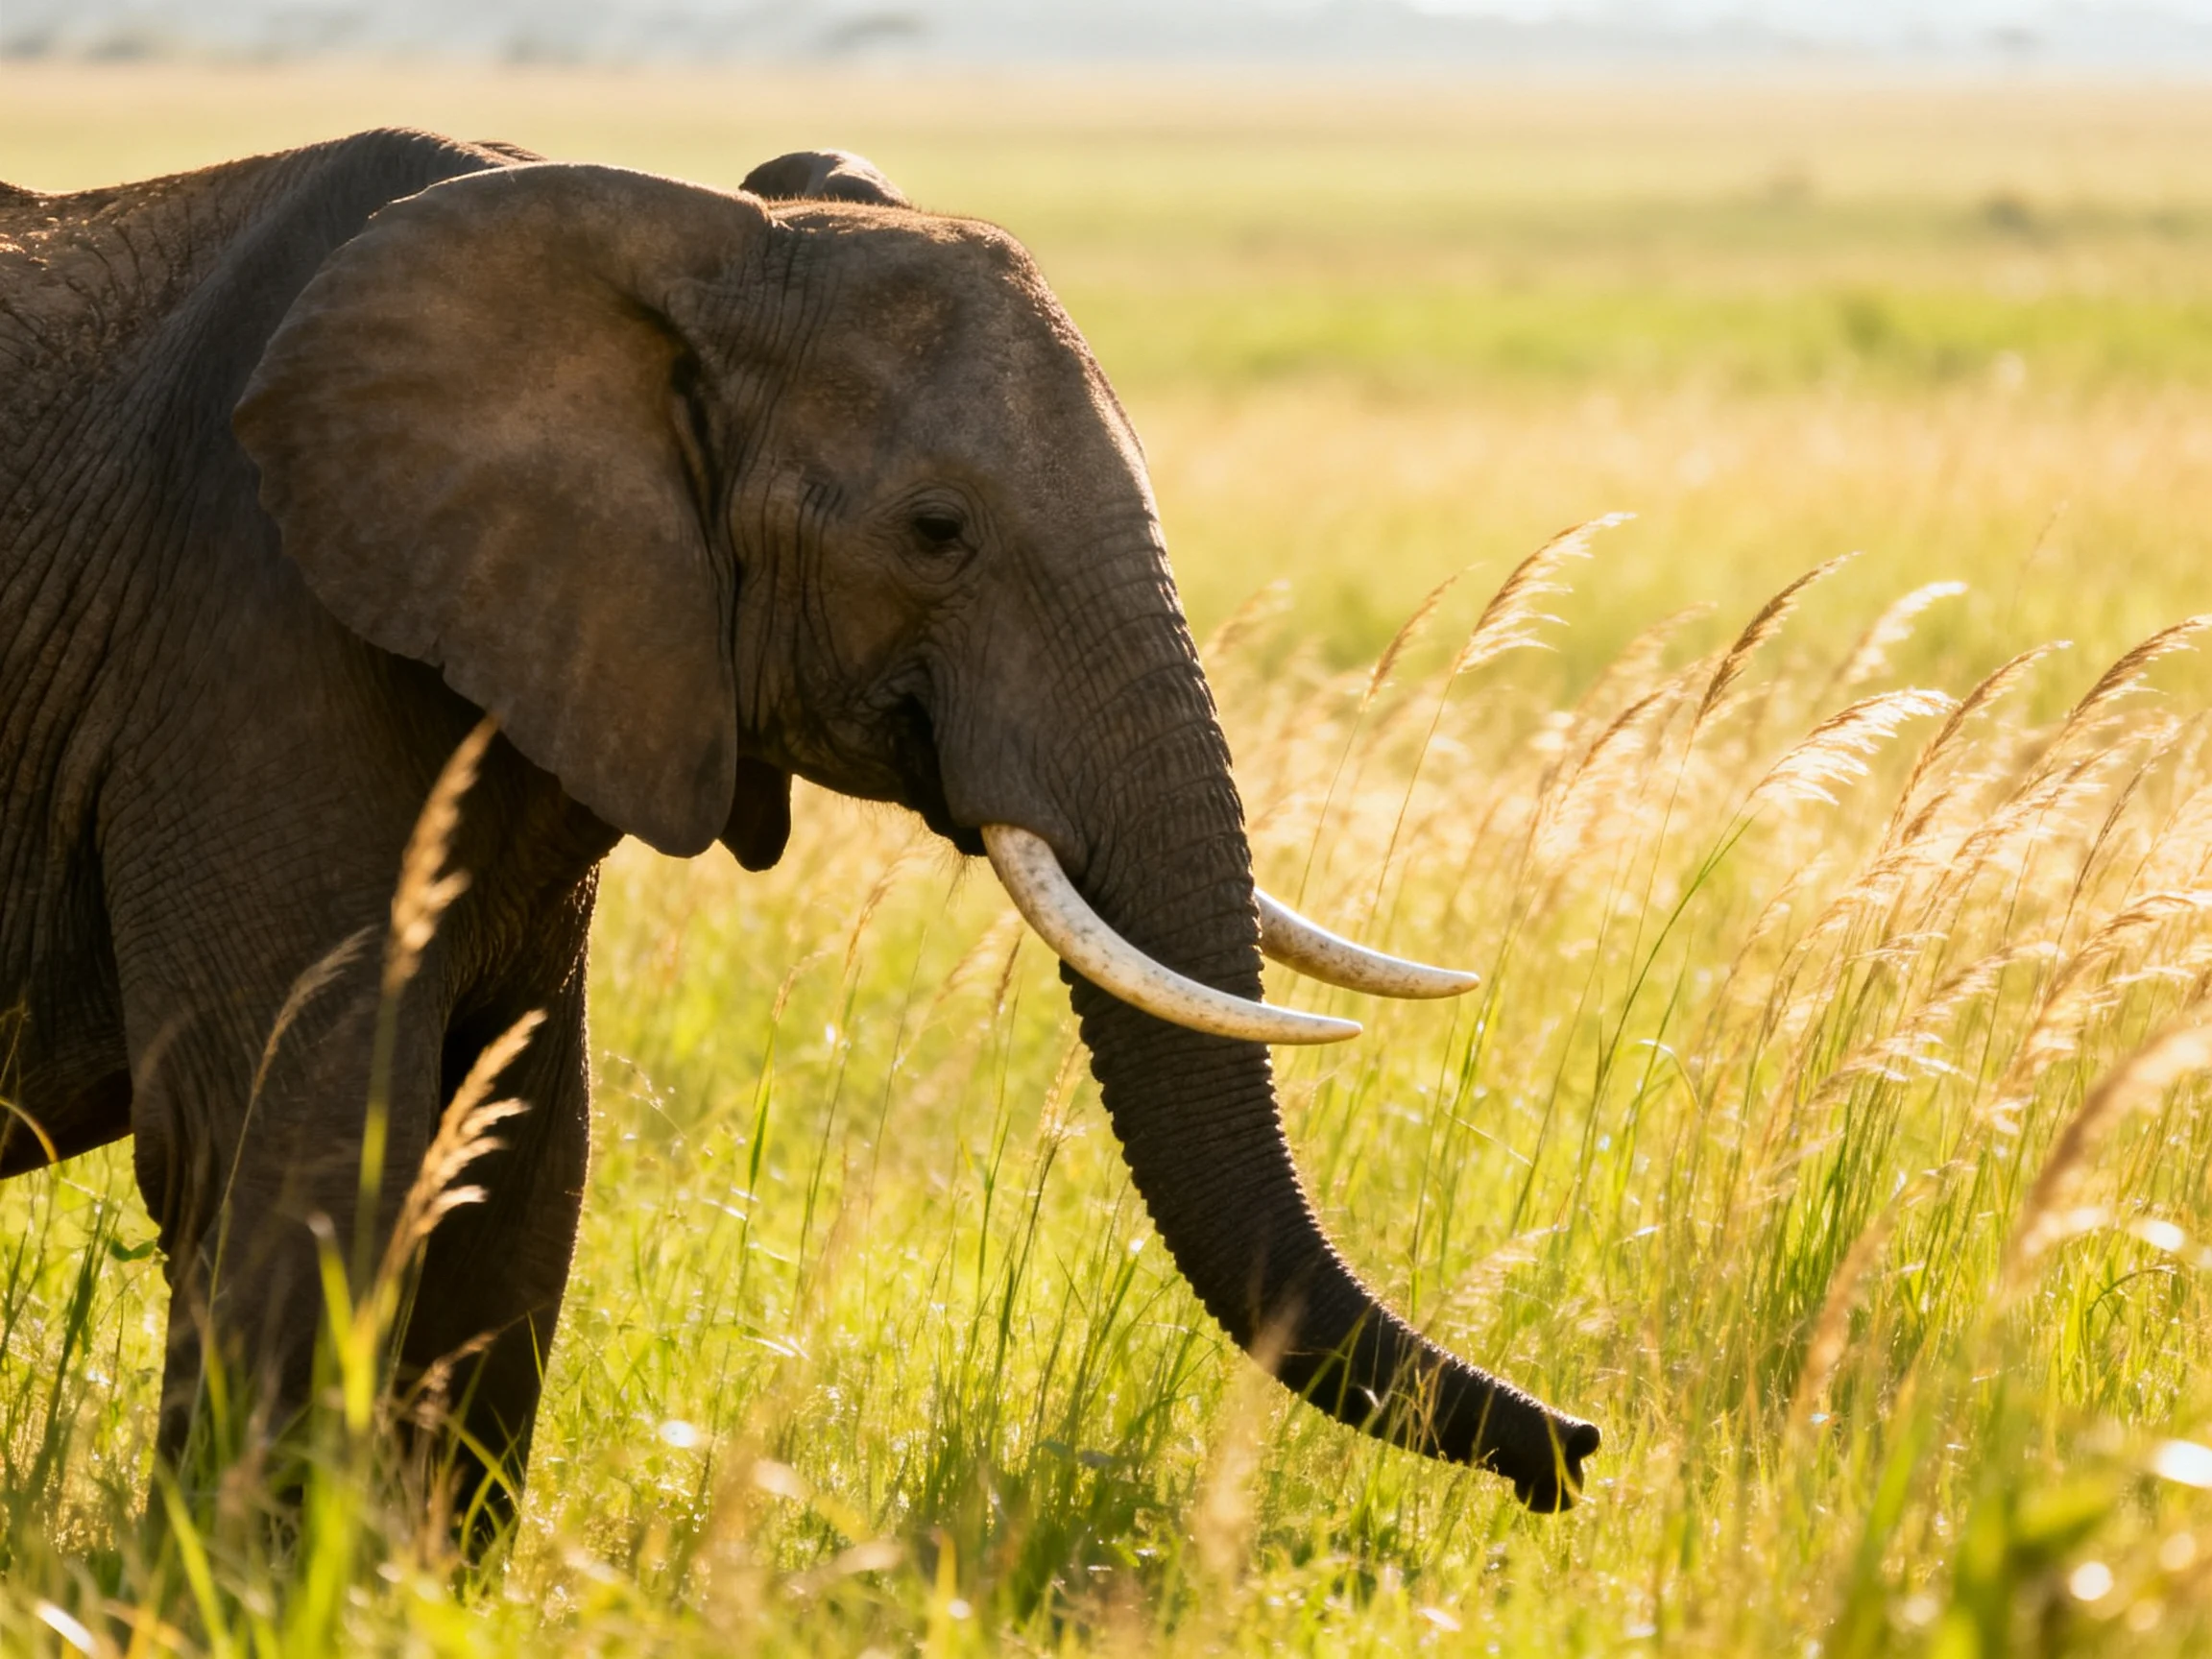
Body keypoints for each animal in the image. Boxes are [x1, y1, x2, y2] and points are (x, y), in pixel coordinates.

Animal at [0, 128, 1599, 1549]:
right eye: (937, 530)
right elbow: (292, 1137)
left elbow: (520, 1148)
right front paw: (248, 1591)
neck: (679, 236)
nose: (1575, 1452)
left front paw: (414, 1587)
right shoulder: (250, 636)